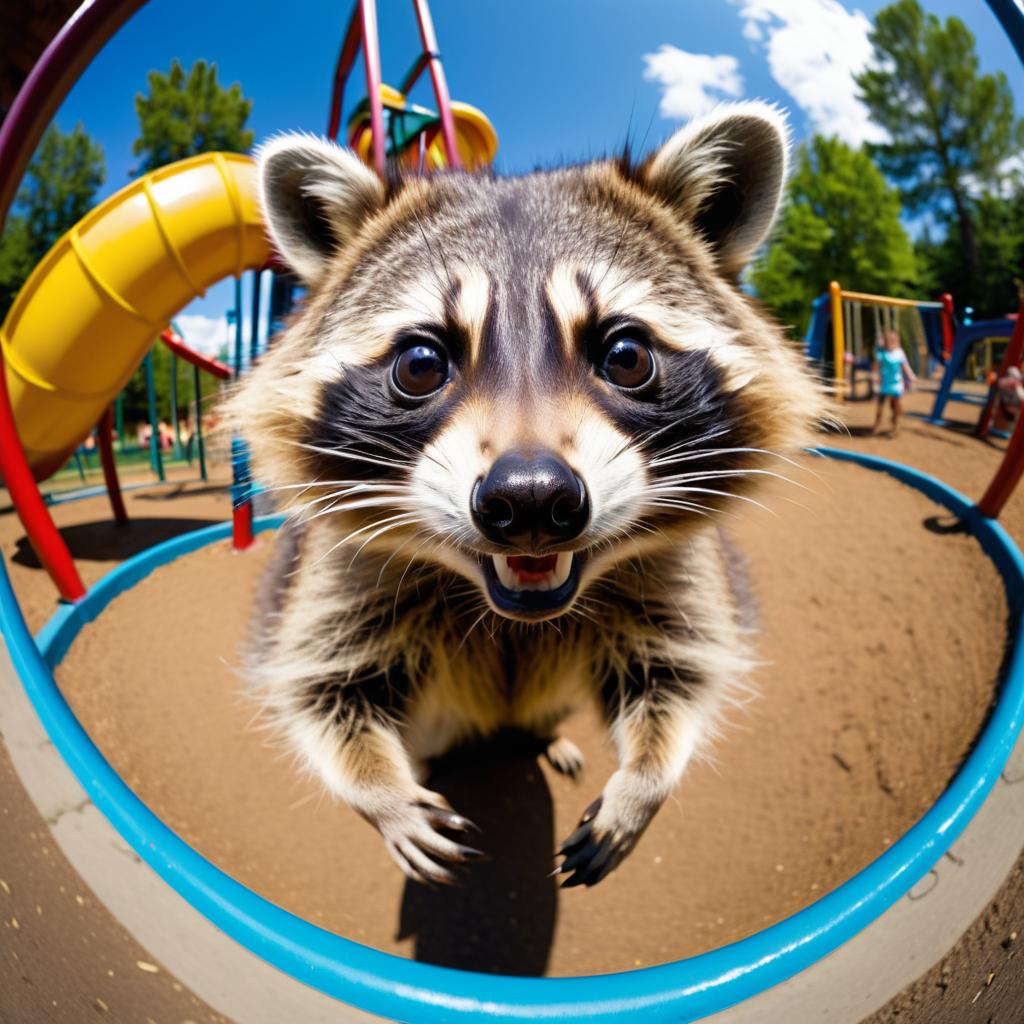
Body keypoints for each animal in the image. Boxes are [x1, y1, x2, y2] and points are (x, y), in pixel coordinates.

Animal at [230, 101, 823, 888]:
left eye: (626, 356)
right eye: (421, 364)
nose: (533, 500)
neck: (513, 614)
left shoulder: (678, 570)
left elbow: (680, 667)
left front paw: (646, 780)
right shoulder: (336, 572)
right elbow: (321, 685)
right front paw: (377, 792)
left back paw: (549, 738)